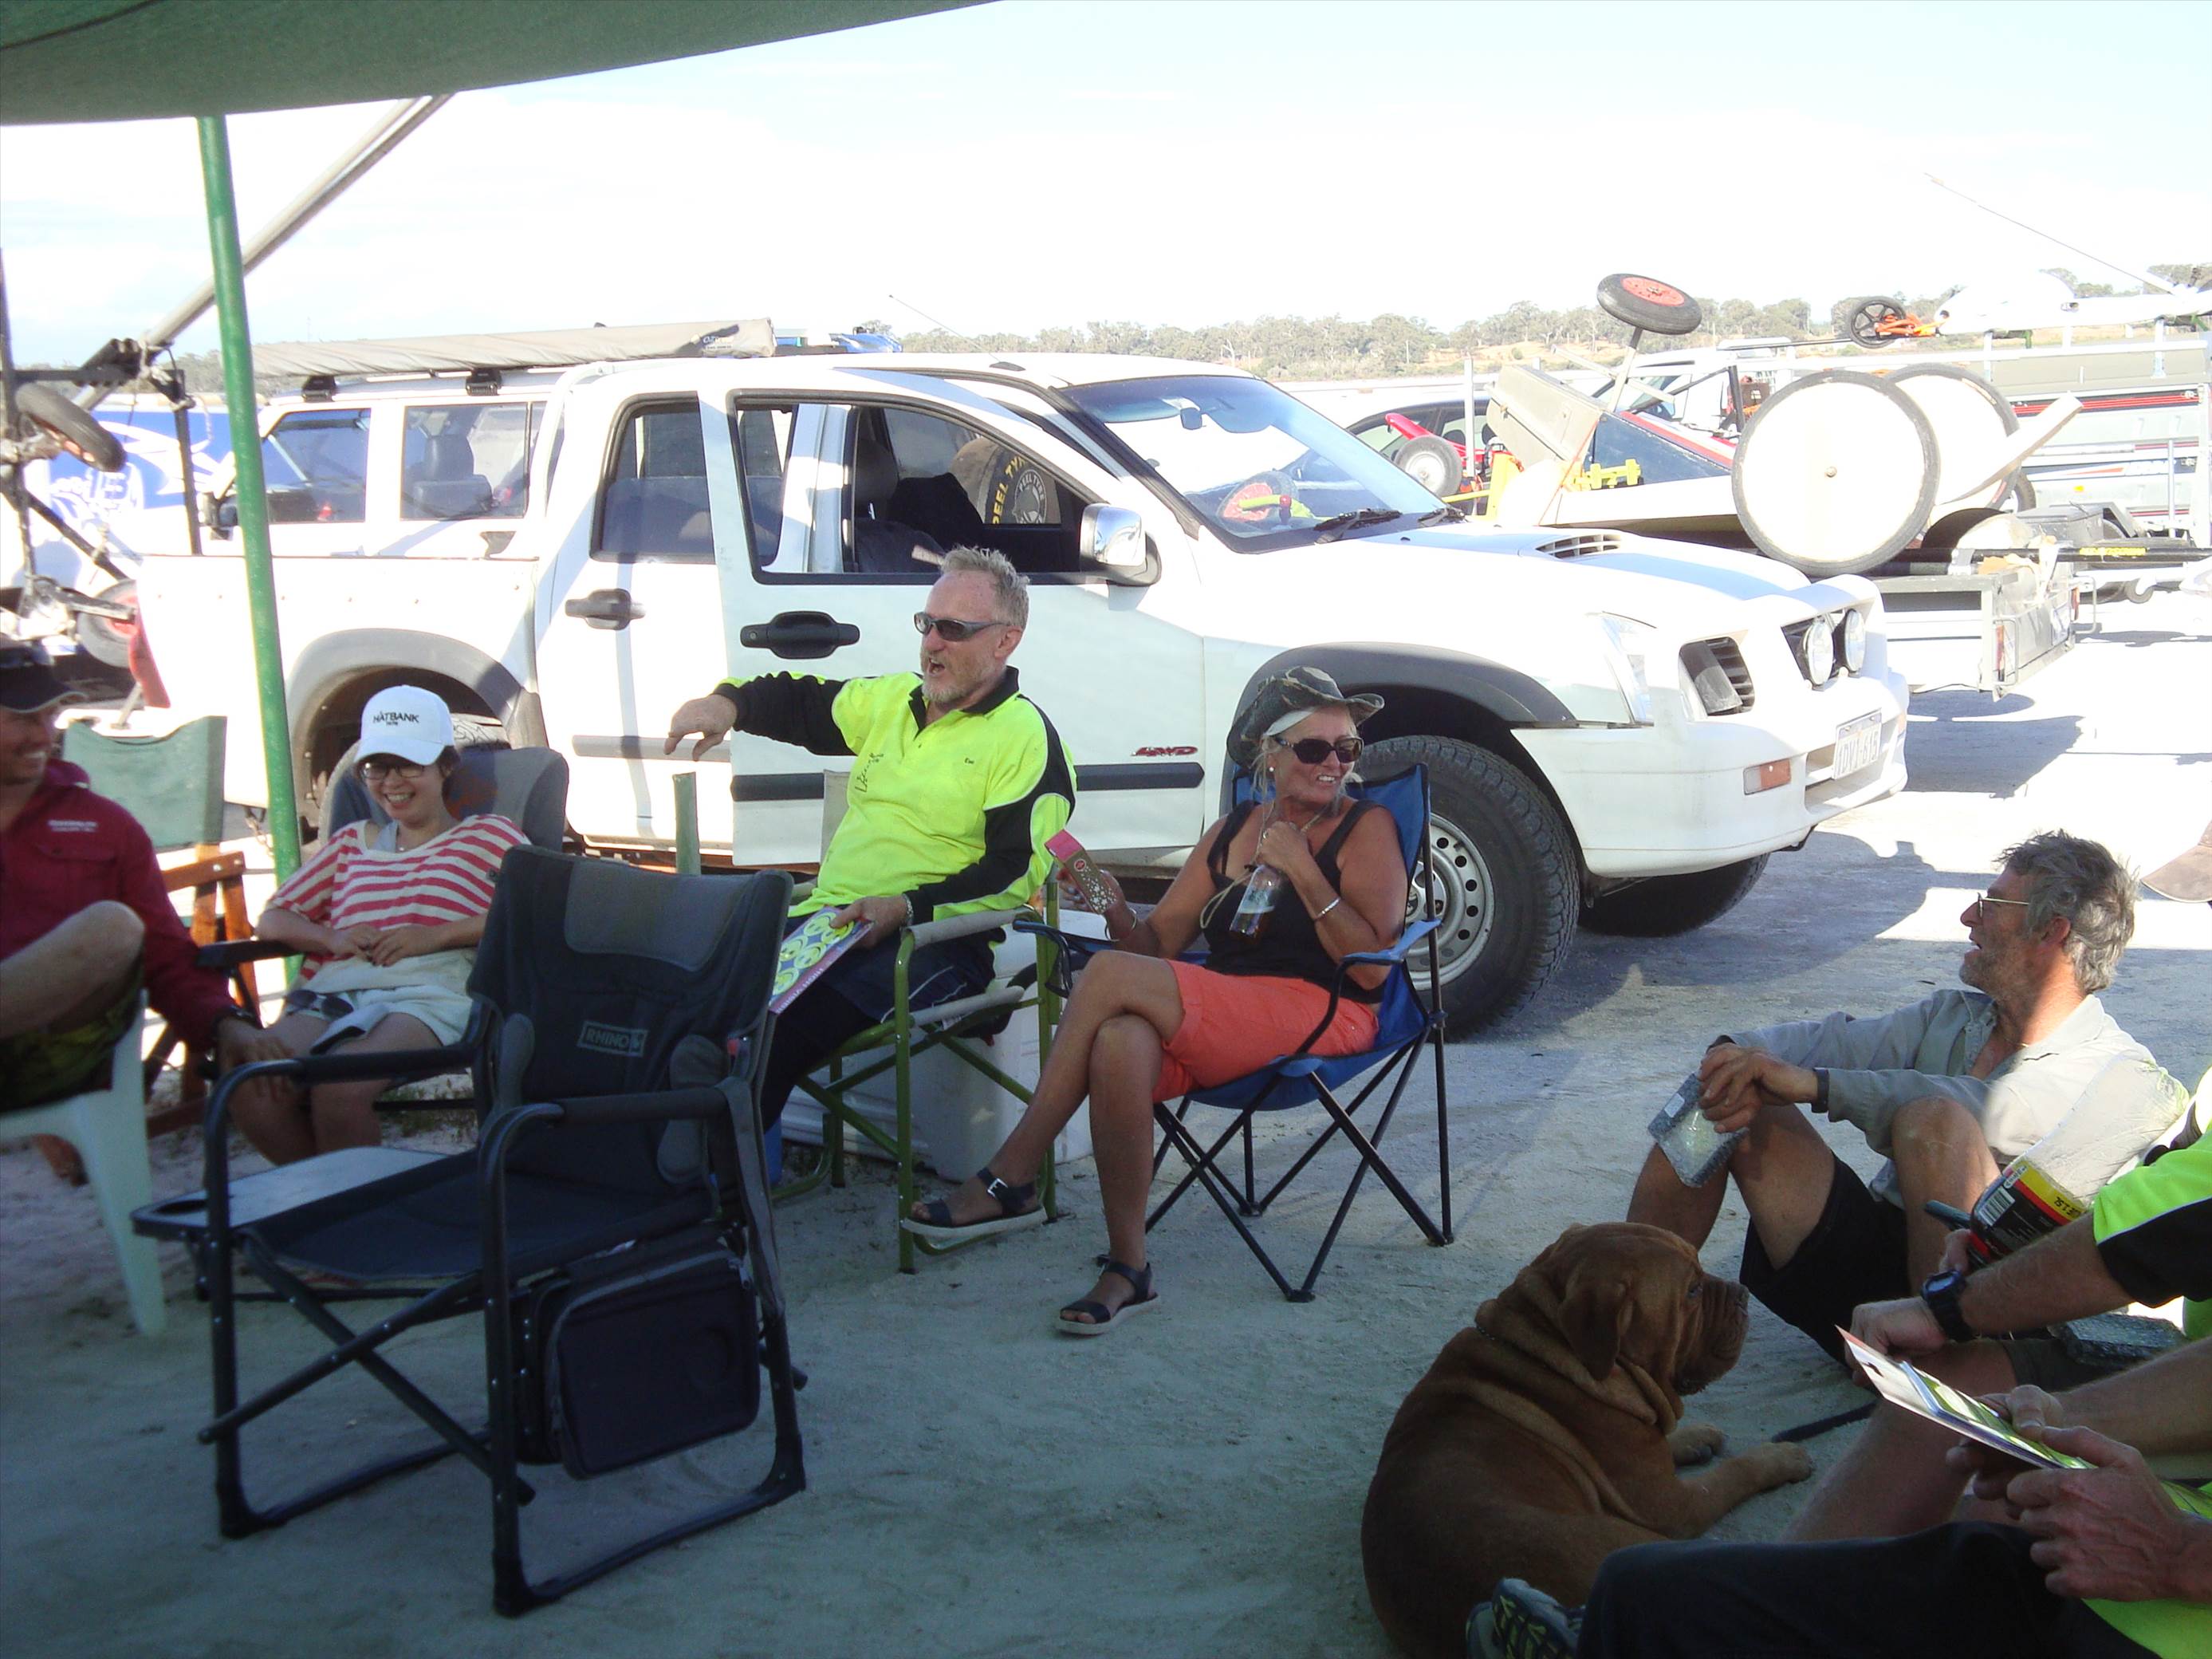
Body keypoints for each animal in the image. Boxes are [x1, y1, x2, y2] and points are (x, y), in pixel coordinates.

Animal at [1361, 1222, 1812, 1659]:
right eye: (1692, 1291)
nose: (1743, 1293)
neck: (1554, 1353)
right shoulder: (1674, 1504)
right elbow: (1735, 1472)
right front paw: (1781, 1457)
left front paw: (1695, 1437)